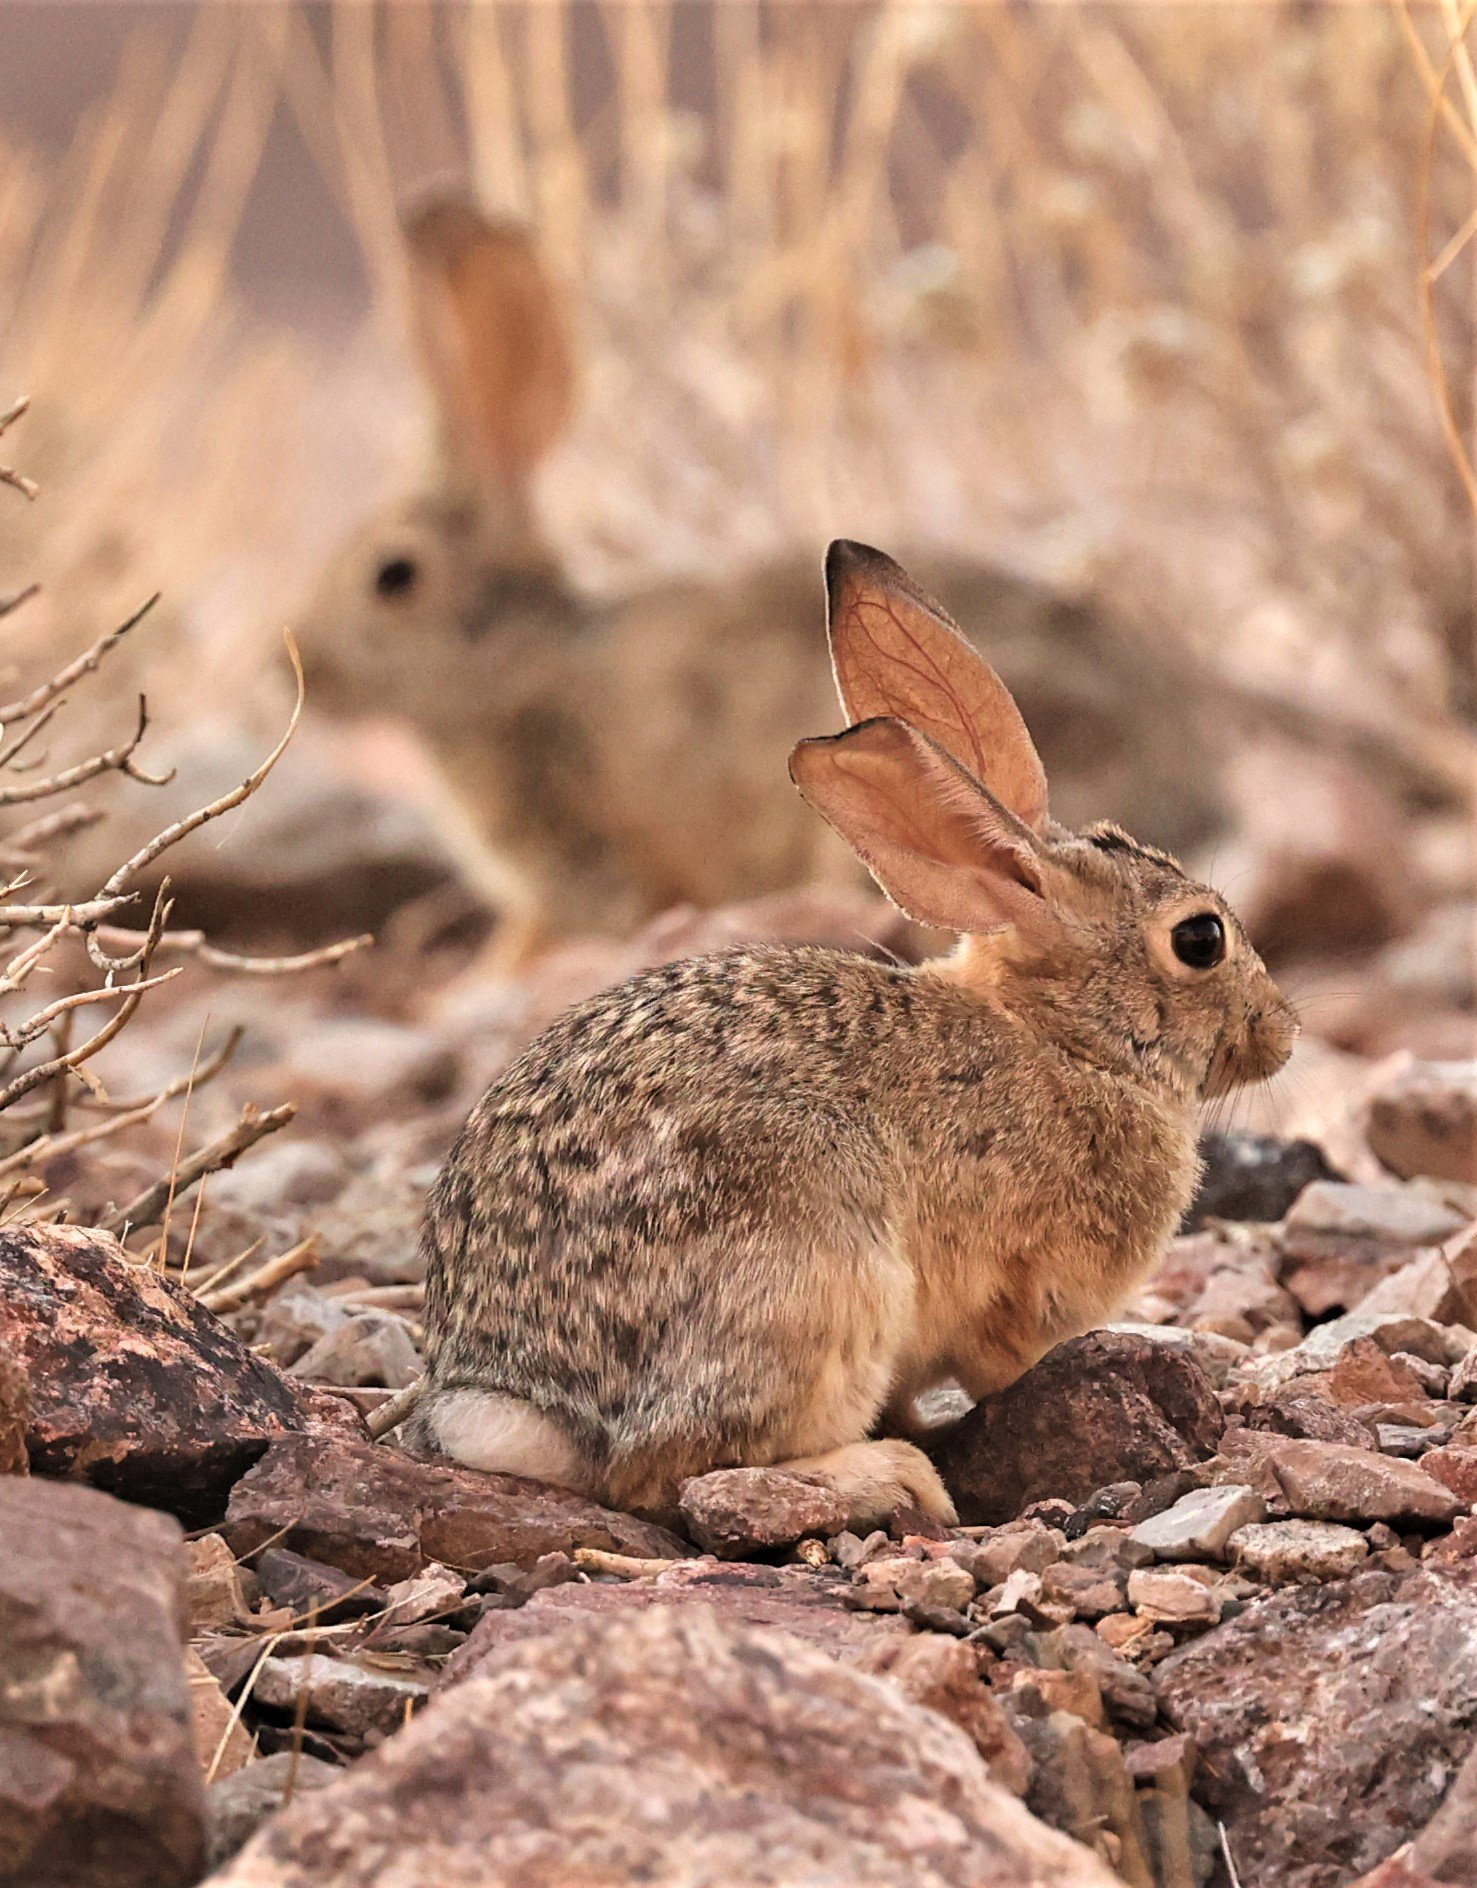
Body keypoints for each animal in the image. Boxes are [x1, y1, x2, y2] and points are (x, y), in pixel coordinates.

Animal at [407, 543, 1296, 1530]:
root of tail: (527, 1405)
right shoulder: (1023, 1289)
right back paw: (890, 1477)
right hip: (820, 1272)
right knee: (666, 1470)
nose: (1282, 1032)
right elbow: (1006, 1362)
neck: (1068, 1041)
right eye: (1199, 940)